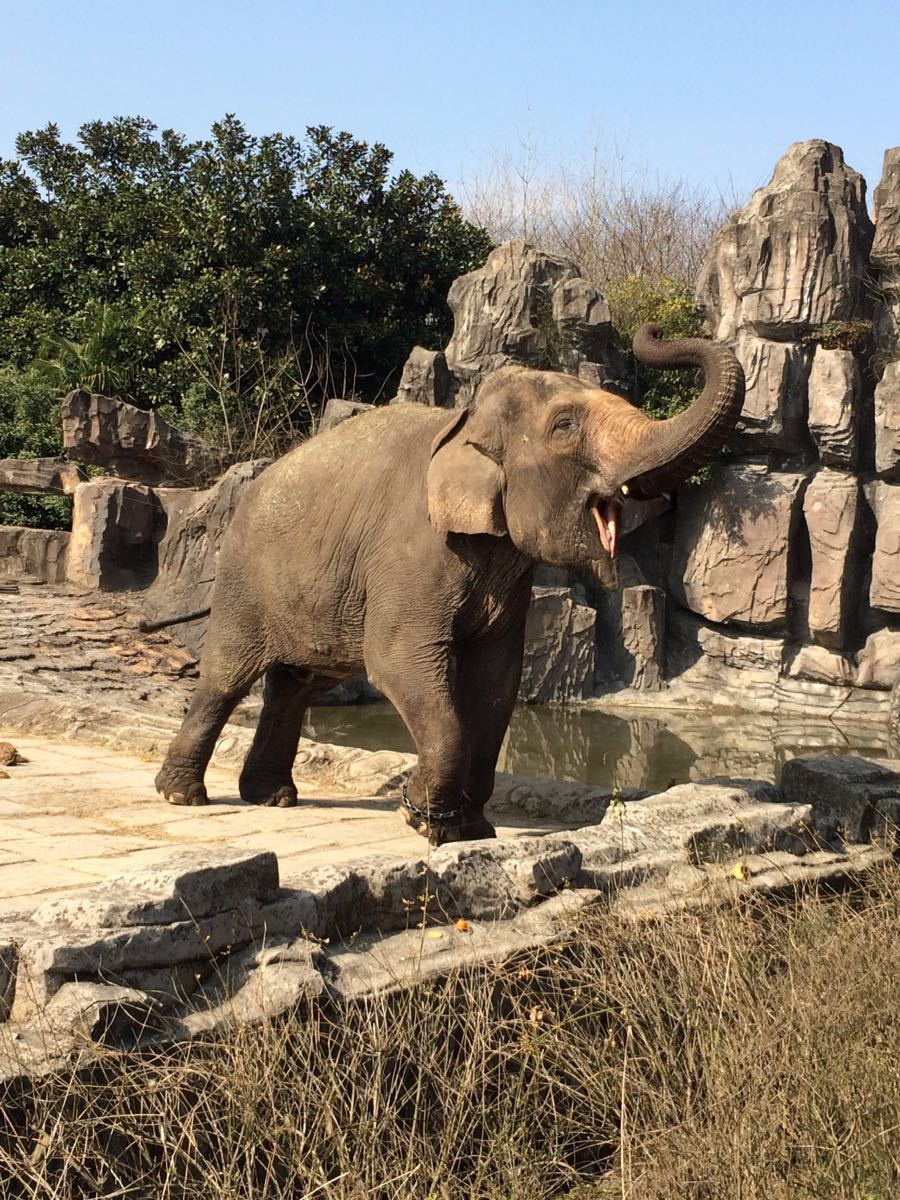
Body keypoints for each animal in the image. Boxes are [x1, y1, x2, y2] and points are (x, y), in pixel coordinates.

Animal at [157, 321, 748, 844]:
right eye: (564, 426)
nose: (653, 331)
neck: (466, 422)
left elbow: (496, 679)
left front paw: (470, 829)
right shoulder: (412, 553)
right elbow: (398, 661)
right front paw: (425, 819)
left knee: (297, 684)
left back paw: (273, 797)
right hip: (245, 579)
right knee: (227, 678)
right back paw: (182, 796)